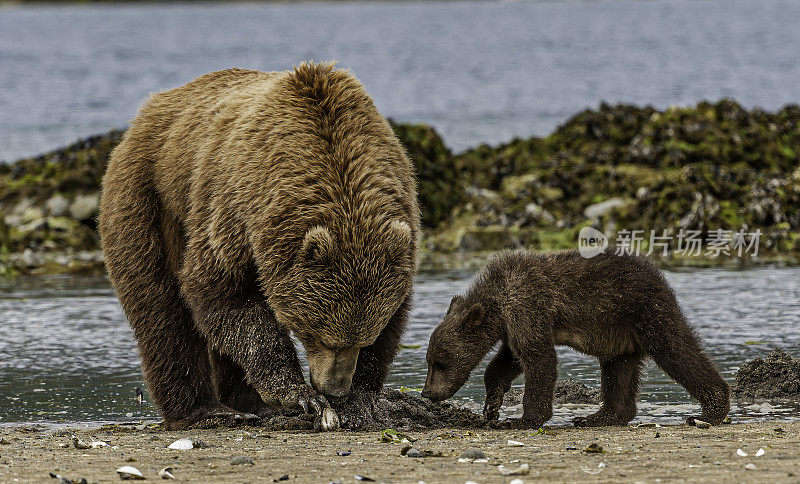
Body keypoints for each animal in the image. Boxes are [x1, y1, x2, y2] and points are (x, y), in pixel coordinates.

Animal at [100, 62, 418, 430]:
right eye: (318, 335)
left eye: (363, 338)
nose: (334, 388)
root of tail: (146, 112)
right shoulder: (235, 208)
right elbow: (222, 292)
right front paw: (302, 395)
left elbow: (394, 318)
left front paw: (358, 402)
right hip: (149, 198)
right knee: (162, 310)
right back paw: (206, 411)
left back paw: (250, 405)